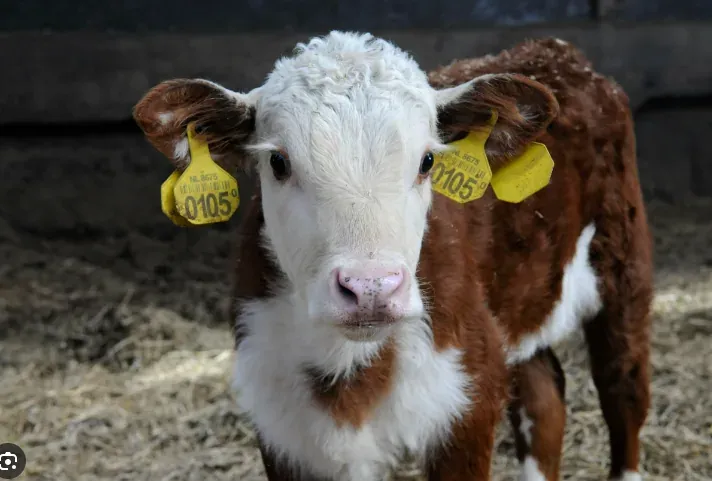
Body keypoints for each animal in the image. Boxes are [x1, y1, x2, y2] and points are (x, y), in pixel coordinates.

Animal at [133, 31, 653, 481]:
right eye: (278, 162)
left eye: (428, 161)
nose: (370, 288)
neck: (349, 369)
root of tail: (556, 51)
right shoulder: (282, 428)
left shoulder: (467, 399)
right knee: (544, 395)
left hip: (624, 261)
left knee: (623, 388)